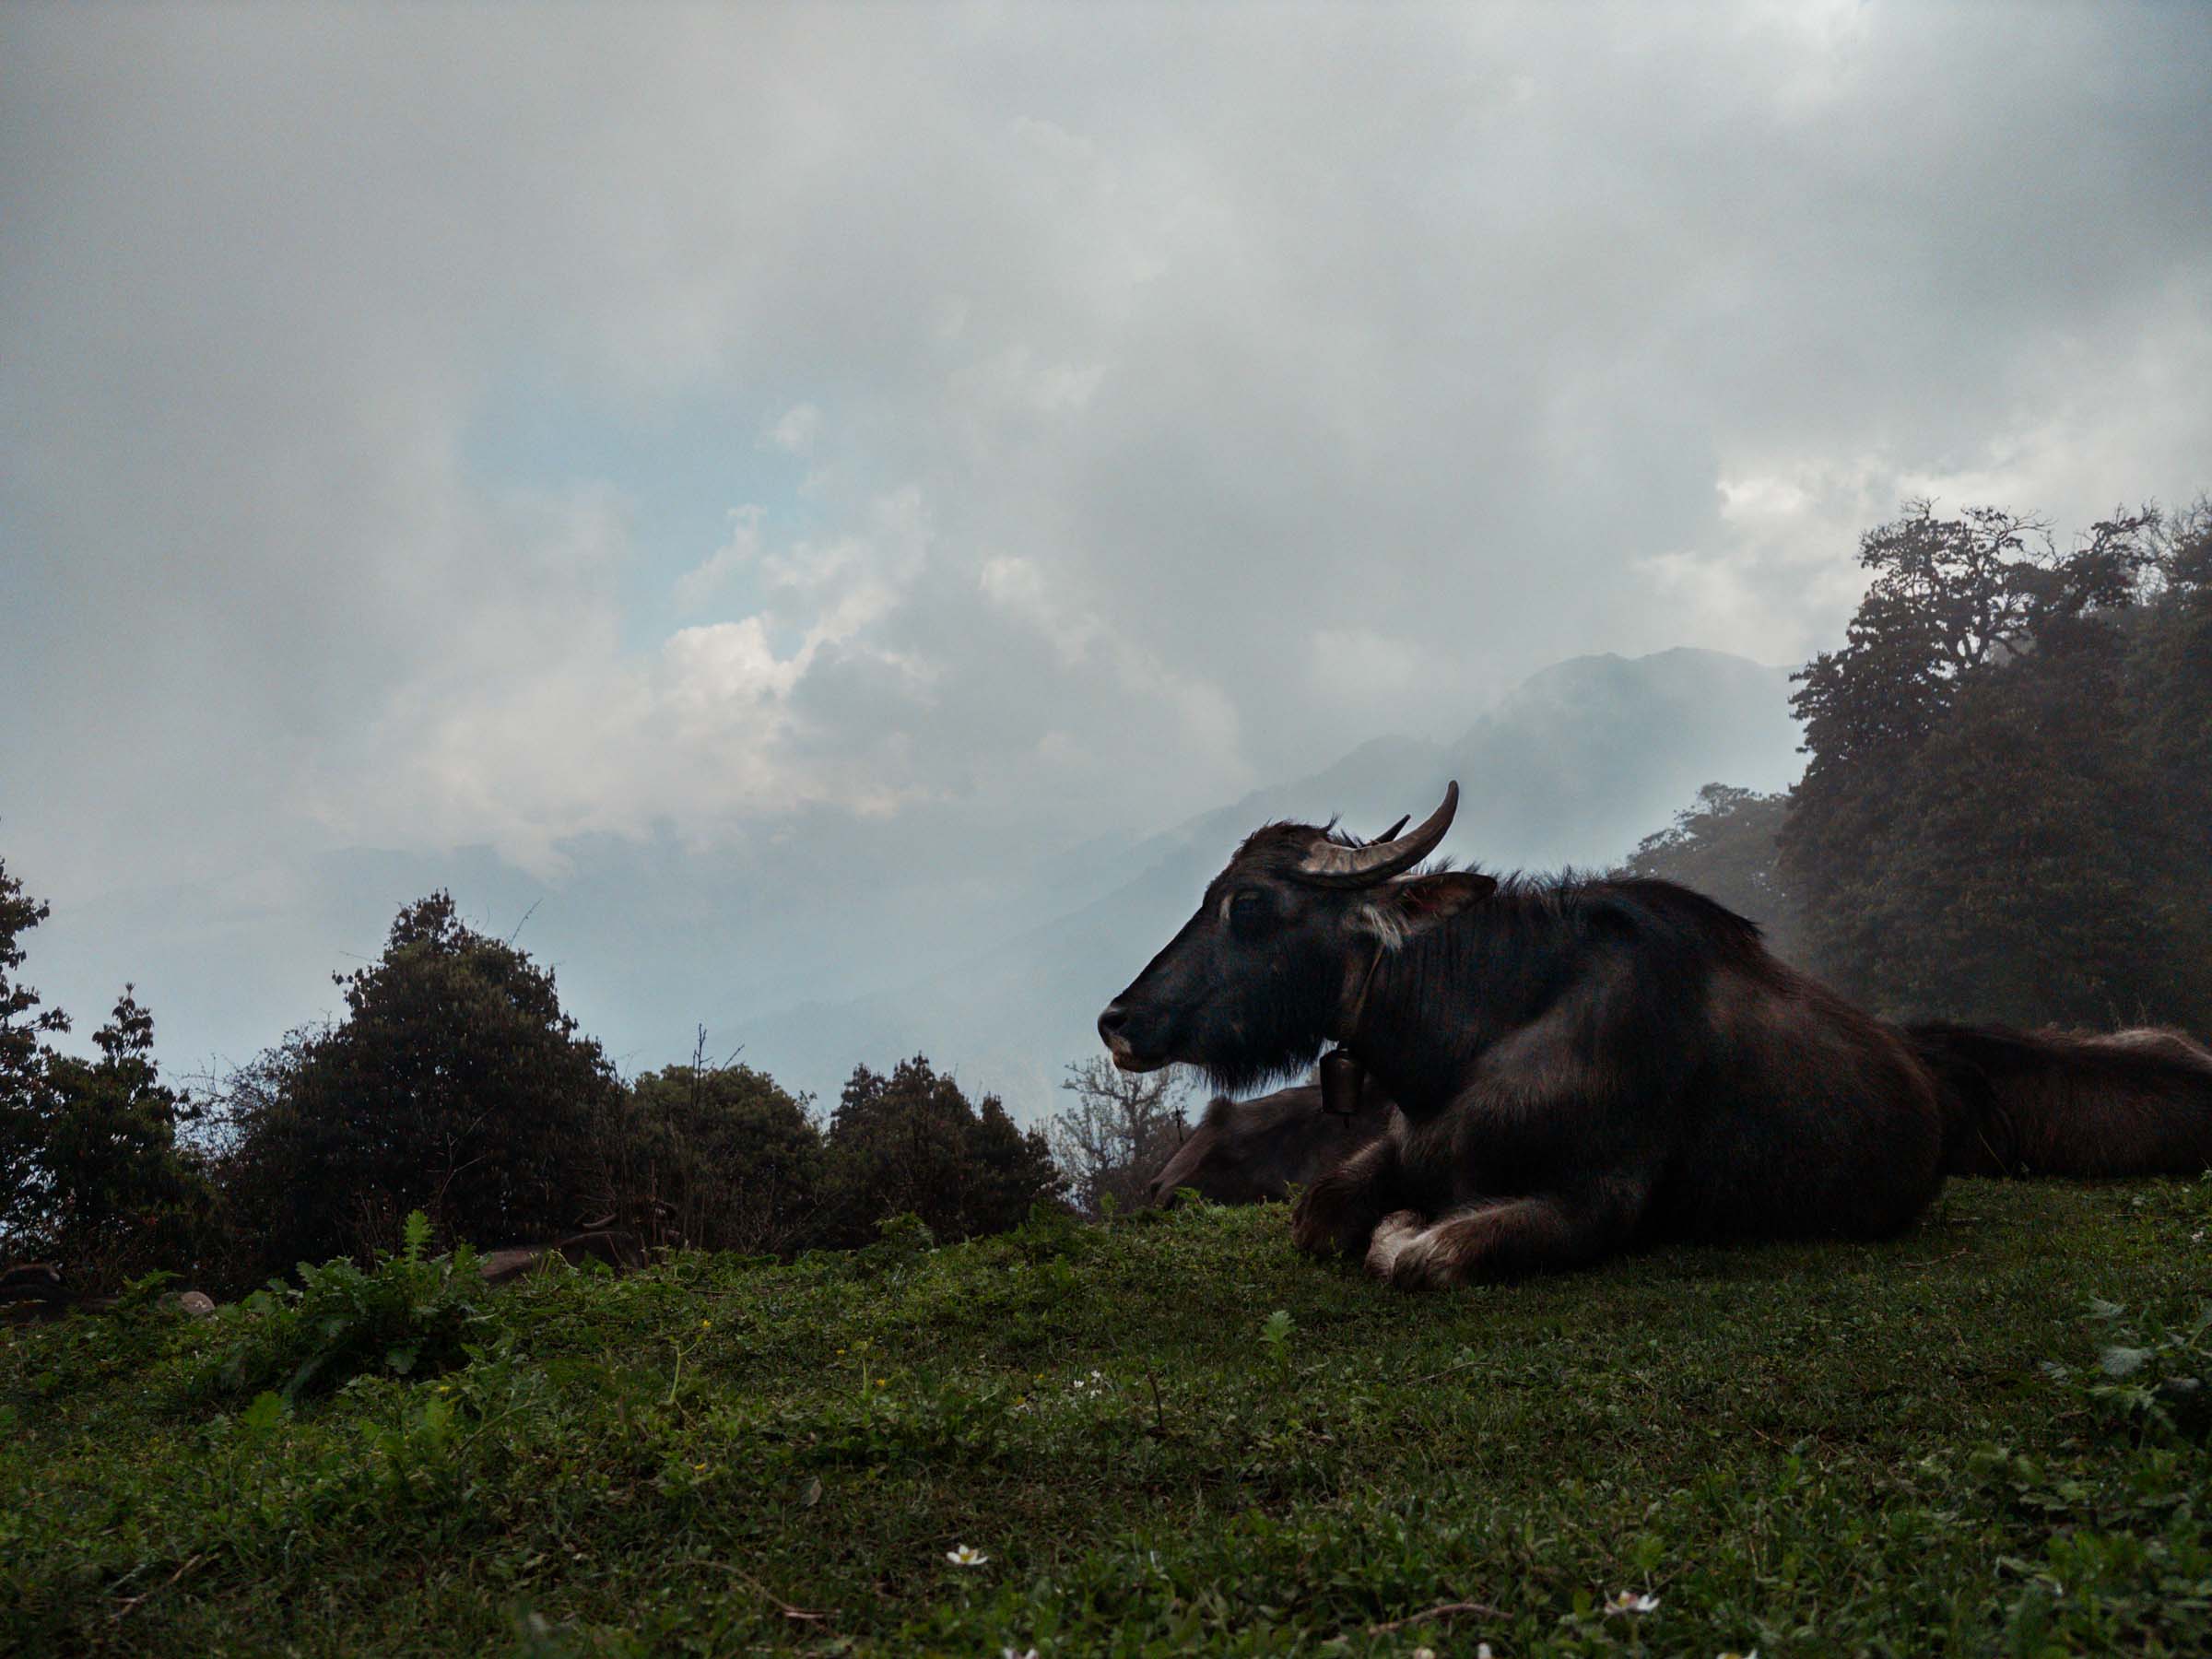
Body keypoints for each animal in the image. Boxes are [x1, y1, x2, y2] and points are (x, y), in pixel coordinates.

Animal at [1099, 782, 2212, 1288]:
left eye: (1249, 904)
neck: (1469, 1043)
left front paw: (1407, 1231)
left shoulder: (1598, 1203)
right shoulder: (1390, 1151)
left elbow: (1417, 1251)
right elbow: (1321, 1212)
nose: (1117, 1020)